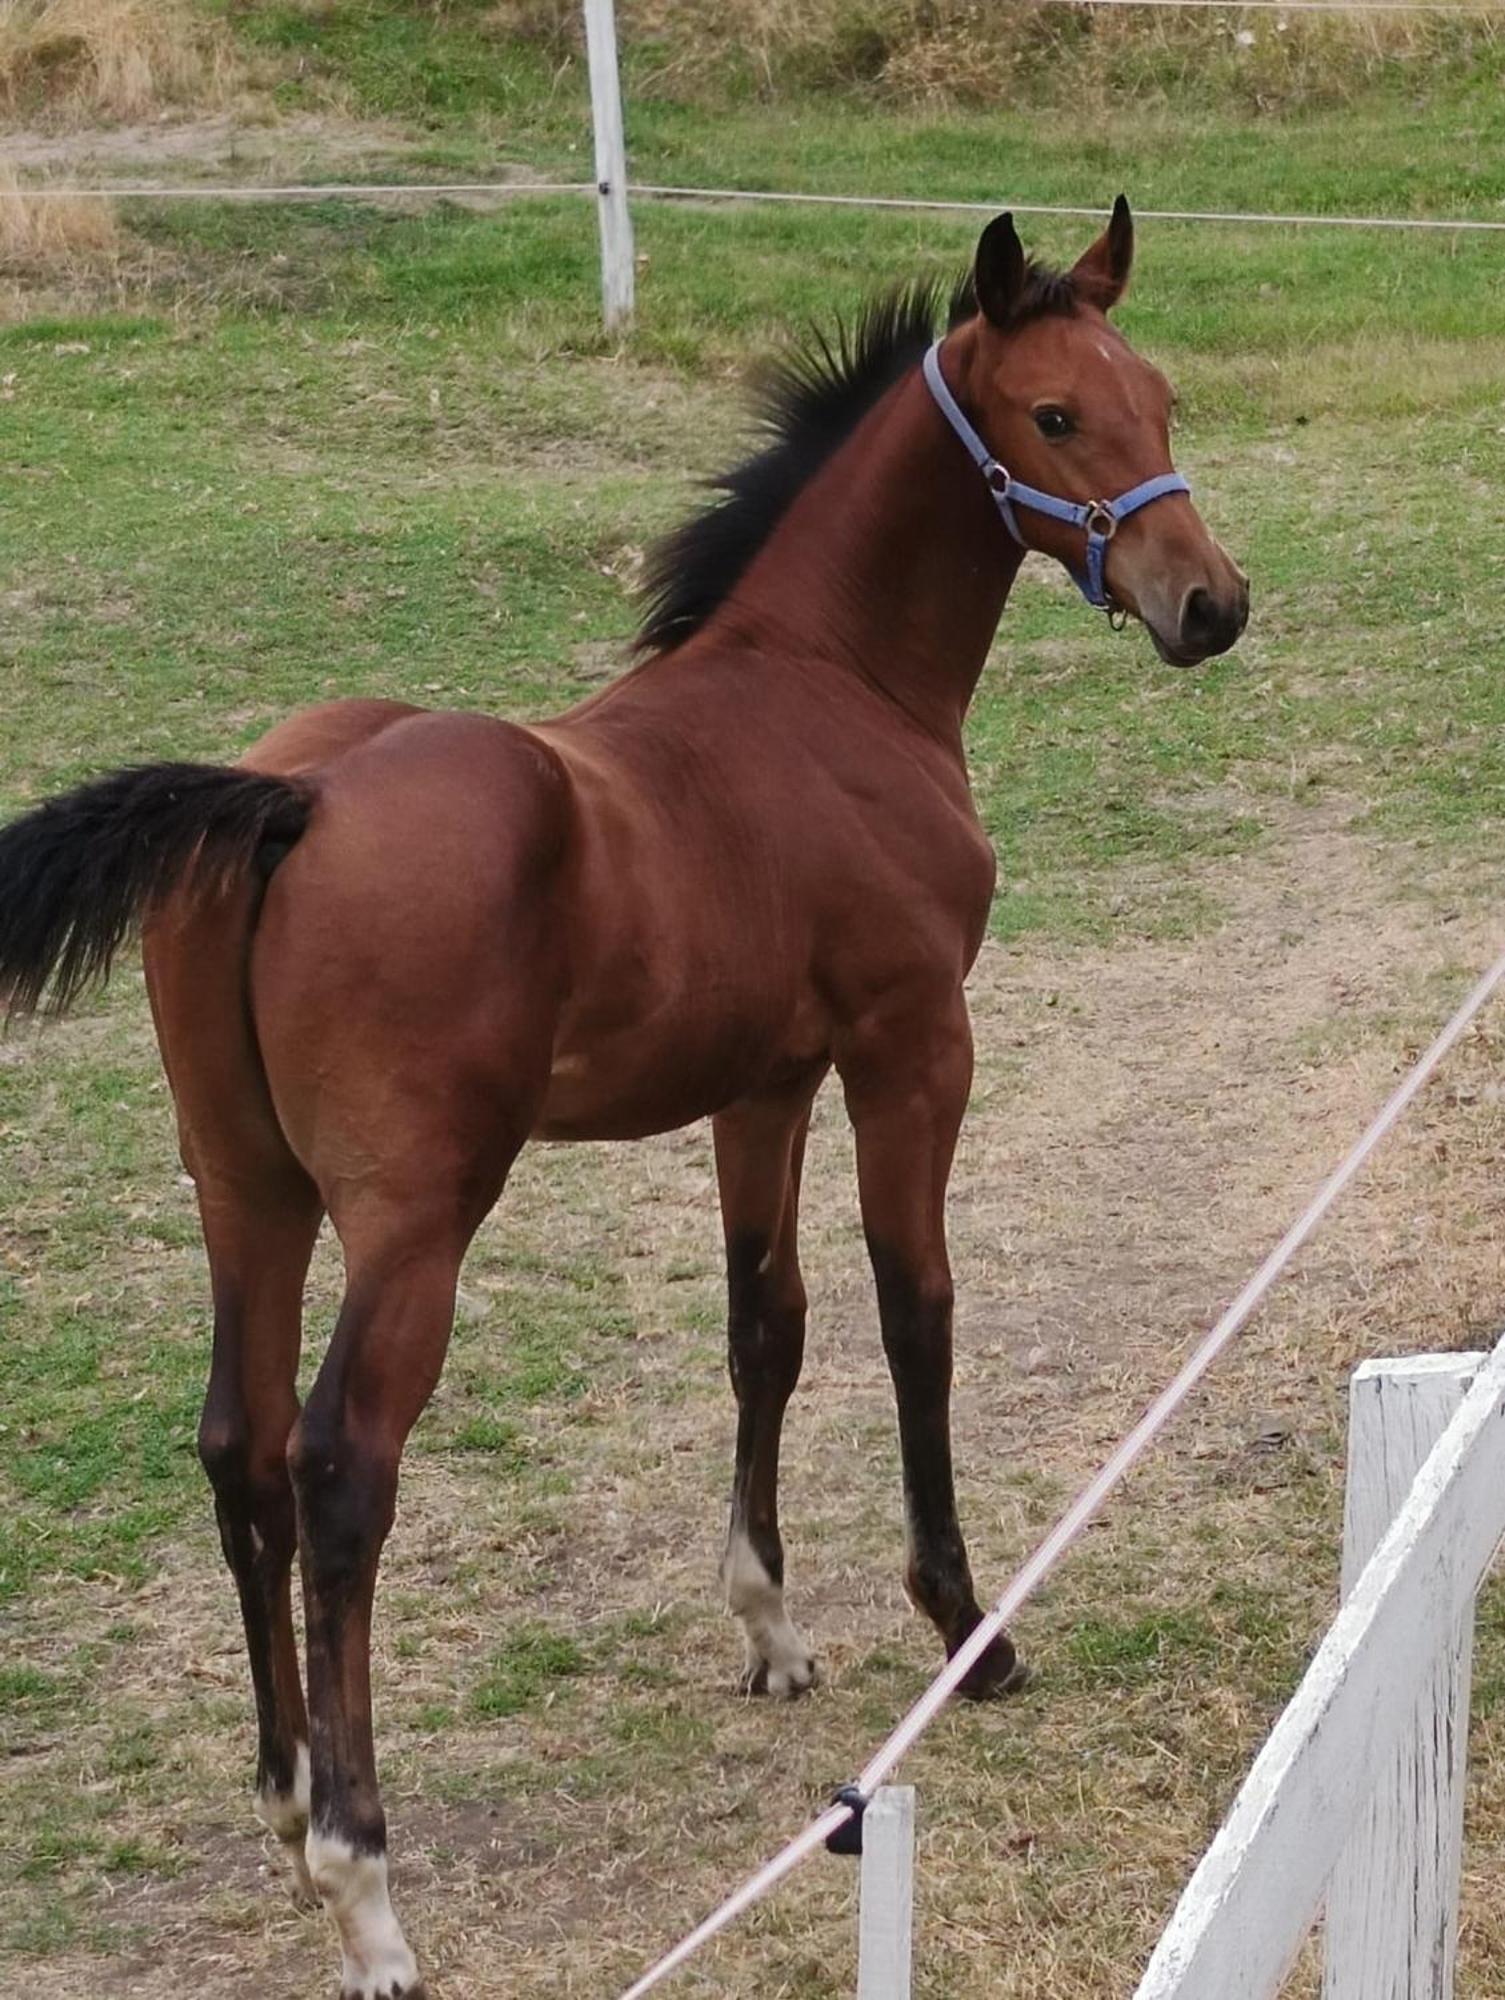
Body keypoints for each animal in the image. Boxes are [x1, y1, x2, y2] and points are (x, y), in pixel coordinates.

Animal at [0, 207, 1248, 2000]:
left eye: (1157, 393)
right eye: (1057, 416)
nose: (1208, 603)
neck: (826, 688)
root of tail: (287, 802)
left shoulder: (763, 1085)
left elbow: (765, 1326)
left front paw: (771, 1628)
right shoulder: (912, 1048)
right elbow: (914, 1308)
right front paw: (970, 1628)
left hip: (246, 1190)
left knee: (239, 1446)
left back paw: (287, 1798)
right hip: (414, 1220)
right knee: (340, 1469)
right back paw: (363, 1879)